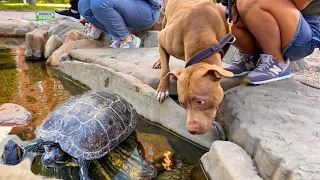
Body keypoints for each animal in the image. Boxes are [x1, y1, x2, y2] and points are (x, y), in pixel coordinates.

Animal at [154, 0, 234, 134]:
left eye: (200, 102)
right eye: (182, 104)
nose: (191, 130)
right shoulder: (162, 38)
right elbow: (165, 69)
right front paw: (162, 90)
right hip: (165, 20)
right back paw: (159, 61)